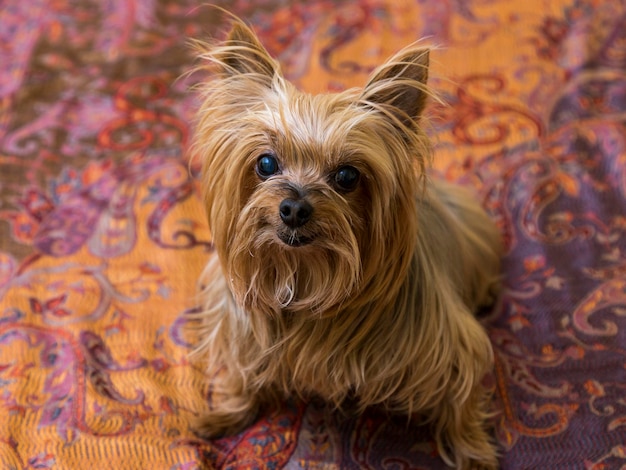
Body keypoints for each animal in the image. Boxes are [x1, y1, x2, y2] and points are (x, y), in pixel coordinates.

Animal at [188, 18, 500, 470]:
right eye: (266, 163)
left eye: (347, 176)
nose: (294, 208)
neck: (305, 271)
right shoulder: (242, 328)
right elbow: (242, 375)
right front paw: (225, 415)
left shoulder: (447, 346)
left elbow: (462, 400)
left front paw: (472, 450)